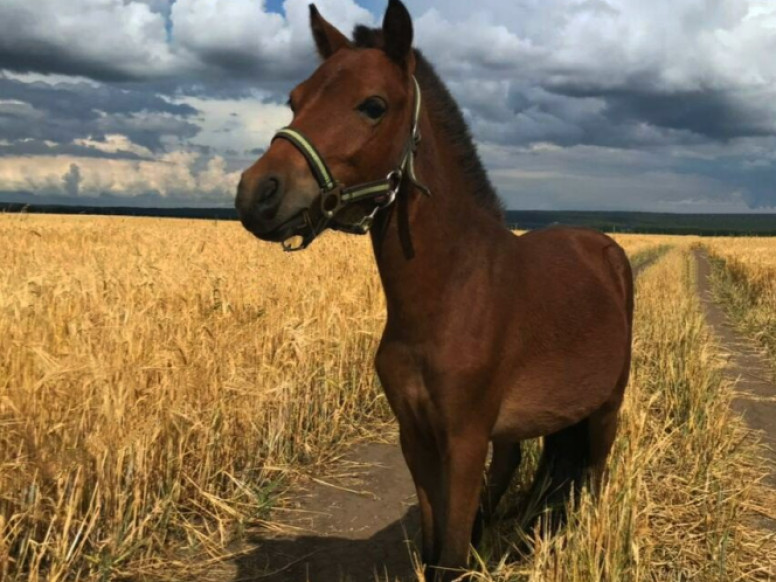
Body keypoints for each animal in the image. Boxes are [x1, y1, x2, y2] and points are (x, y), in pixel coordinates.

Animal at [233, 2, 632, 580]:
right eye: (295, 99)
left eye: (373, 105)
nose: (257, 194)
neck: (450, 295)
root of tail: (603, 247)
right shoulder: (415, 436)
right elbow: (431, 539)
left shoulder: (463, 442)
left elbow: (451, 554)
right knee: (514, 463)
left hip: (607, 405)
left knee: (595, 472)